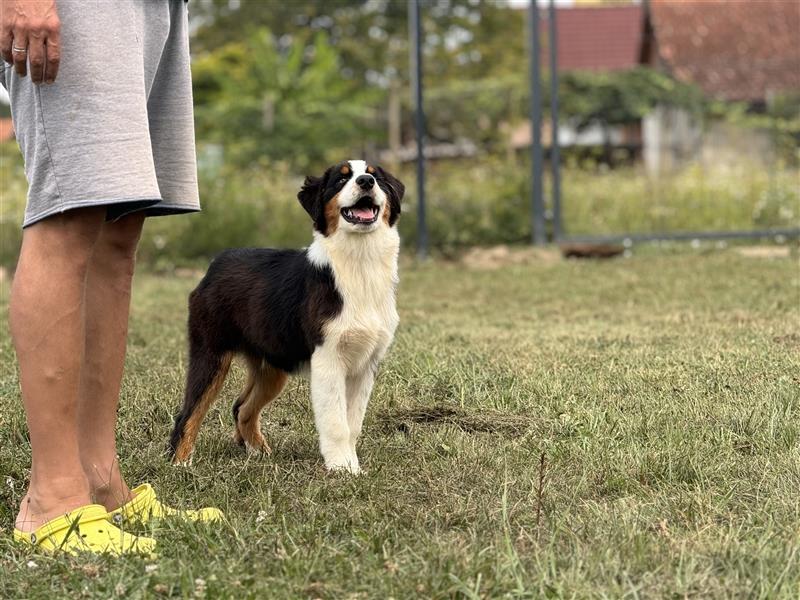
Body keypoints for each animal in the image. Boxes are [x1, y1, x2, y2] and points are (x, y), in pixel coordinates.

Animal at [170, 159, 406, 474]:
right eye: (341, 180)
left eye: (375, 177)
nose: (366, 182)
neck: (359, 263)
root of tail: (216, 263)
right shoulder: (328, 357)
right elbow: (336, 422)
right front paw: (342, 469)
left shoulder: (365, 363)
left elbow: (352, 423)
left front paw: (352, 466)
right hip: (210, 352)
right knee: (189, 412)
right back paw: (180, 463)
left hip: (272, 365)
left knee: (241, 407)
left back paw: (259, 452)